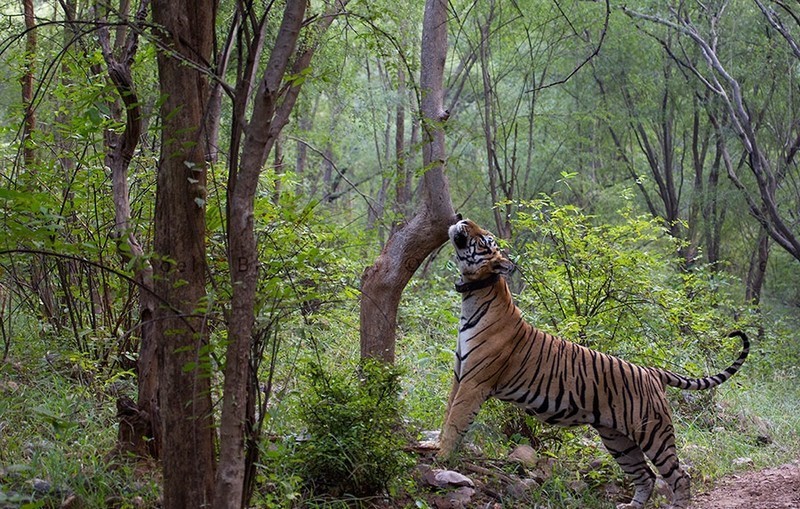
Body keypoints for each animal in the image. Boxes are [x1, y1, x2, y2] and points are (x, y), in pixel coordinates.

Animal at [437, 218, 749, 509]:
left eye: (484, 239)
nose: (462, 219)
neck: (473, 293)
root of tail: (652, 372)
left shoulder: (475, 382)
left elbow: (455, 422)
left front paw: (441, 458)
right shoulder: (459, 376)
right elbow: (447, 415)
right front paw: (435, 448)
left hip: (653, 433)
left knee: (679, 475)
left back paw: (677, 504)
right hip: (618, 439)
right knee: (645, 475)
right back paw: (630, 506)